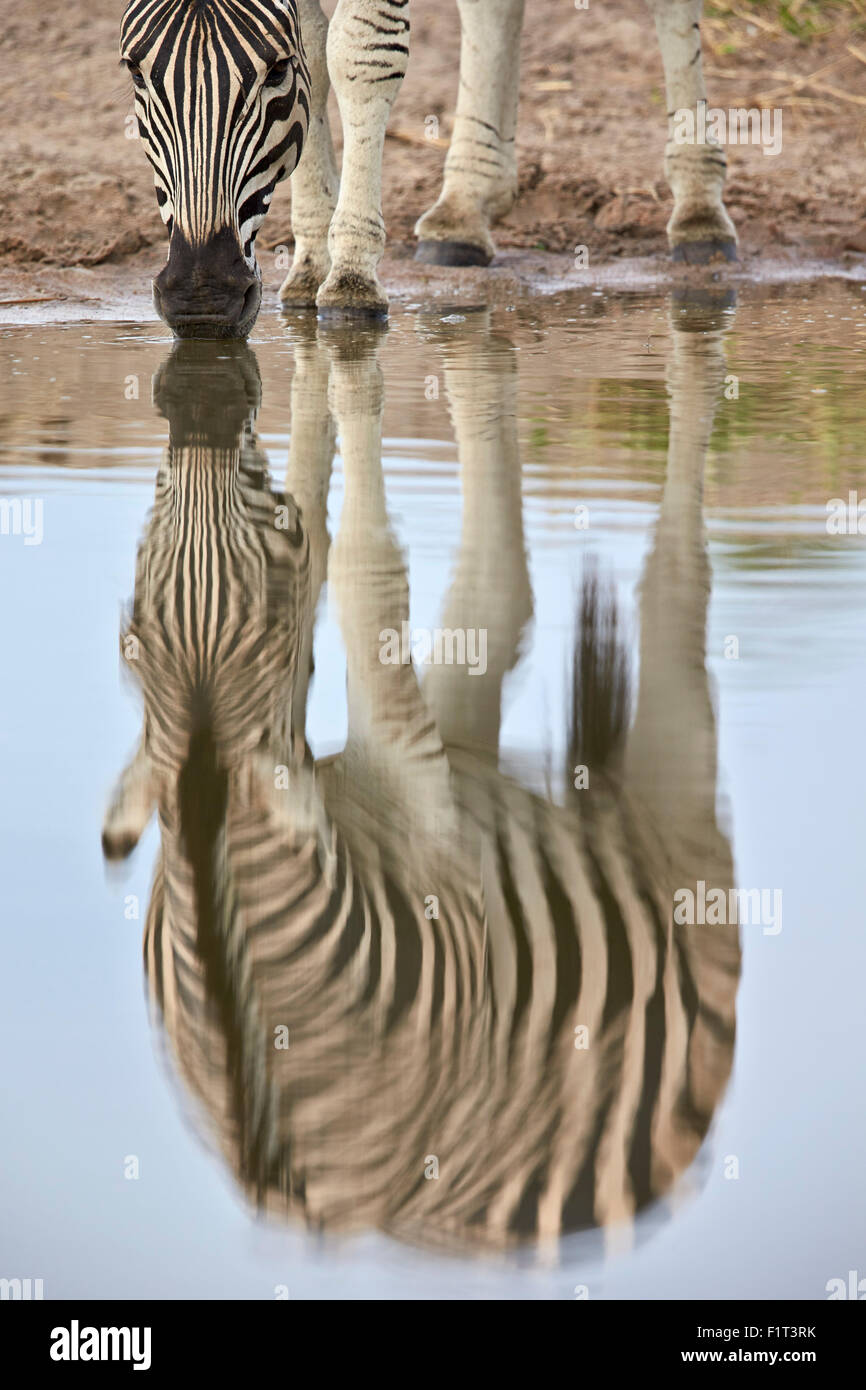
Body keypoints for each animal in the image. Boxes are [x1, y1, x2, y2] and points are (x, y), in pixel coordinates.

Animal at [102, 300, 740, 1253]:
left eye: (274, 612)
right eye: (131, 632)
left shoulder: (414, 792)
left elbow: (360, 568)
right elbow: (339, 541)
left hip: (677, 817)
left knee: (674, 587)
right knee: (500, 604)